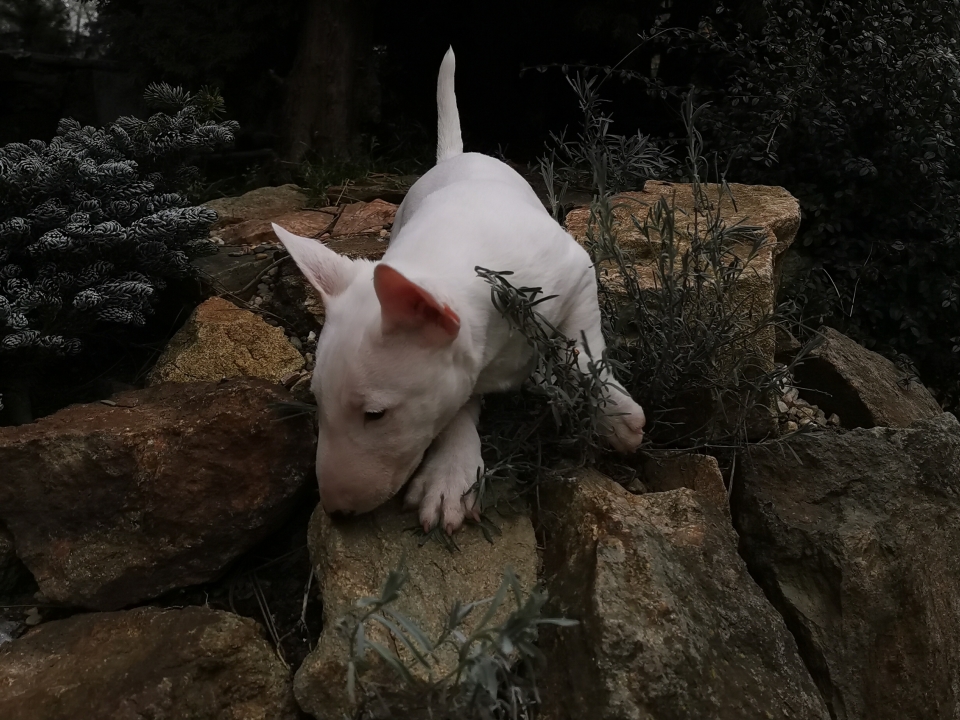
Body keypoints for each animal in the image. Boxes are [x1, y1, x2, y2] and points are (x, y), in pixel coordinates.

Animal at [273, 47, 645, 534]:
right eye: (316, 400)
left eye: (375, 414)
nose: (336, 513)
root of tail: (456, 156)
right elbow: (458, 403)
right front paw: (449, 478)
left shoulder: (578, 271)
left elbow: (585, 348)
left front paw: (613, 412)